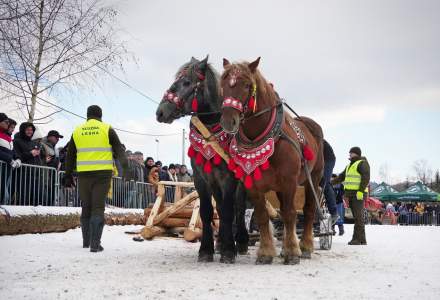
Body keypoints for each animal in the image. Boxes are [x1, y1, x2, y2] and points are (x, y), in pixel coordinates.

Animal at [156, 56, 249, 262]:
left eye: (187, 82)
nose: (160, 112)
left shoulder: (229, 178)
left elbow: (229, 211)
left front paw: (229, 251)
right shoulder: (202, 179)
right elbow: (208, 212)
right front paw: (207, 249)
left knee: (239, 208)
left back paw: (241, 242)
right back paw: (221, 242)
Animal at [219, 57, 324, 264]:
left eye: (246, 85)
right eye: (224, 84)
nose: (228, 120)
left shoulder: (290, 182)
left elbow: (291, 214)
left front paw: (292, 252)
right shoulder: (253, 185)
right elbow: (262, 216)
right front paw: (266, 252)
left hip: (313, 179)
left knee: (308, 211)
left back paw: (305, 246)